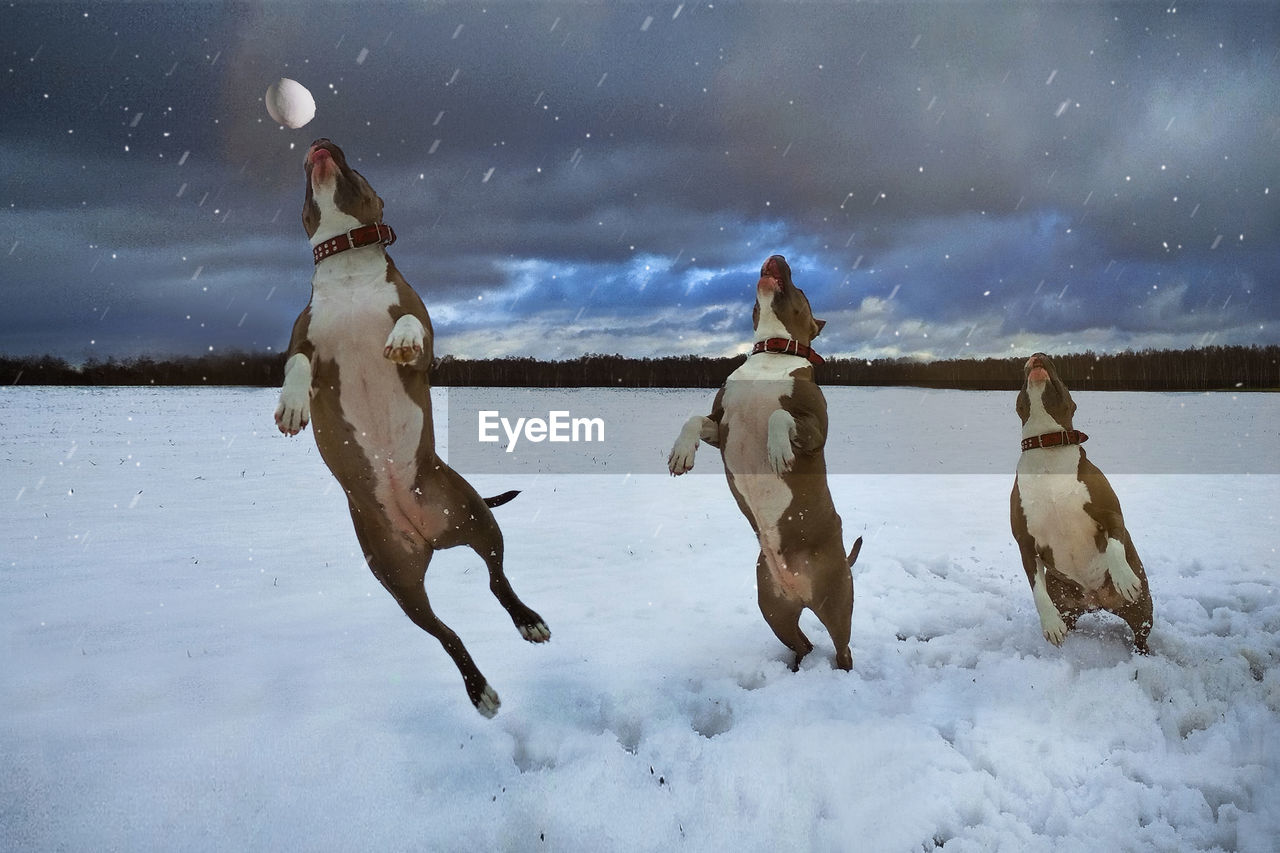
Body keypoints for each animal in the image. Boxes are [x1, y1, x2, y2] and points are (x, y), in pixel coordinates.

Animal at [272, 136, 547, 712]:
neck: (349, 268)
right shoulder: (305, 344)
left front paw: (398, 340)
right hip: (396, 577)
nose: (321, 140)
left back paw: (527, 621)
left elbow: (410, 326)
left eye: (355, 163)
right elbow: (297, 365)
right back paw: (478, 688)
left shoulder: (424, 345)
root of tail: (427, 536)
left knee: (497, 581)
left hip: (474, 517)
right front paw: (291, 407)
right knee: (445, 631)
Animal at [670, 256, 860, 666]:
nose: (779, 256)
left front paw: (778, 450)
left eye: (801, 288)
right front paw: (681, 453)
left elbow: (779, 415)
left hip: (837, 601)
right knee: (802, 642)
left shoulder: (816, 429)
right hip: (772, 606)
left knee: (843, 648)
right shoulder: (720, 425)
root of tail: (800, 592)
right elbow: (693, 419)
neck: (774, 353)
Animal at [1013, 350, 1157, 650]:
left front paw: (1124, 577)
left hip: (1142, 609)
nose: (1037, 354)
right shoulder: (1025, 543)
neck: (1048, 445)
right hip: (1066, 603)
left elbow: (1115, 543)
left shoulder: (1111, 513)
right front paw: (1050, 625)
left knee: (1141, 634)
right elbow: (1036, 588)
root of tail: (1095, 599)